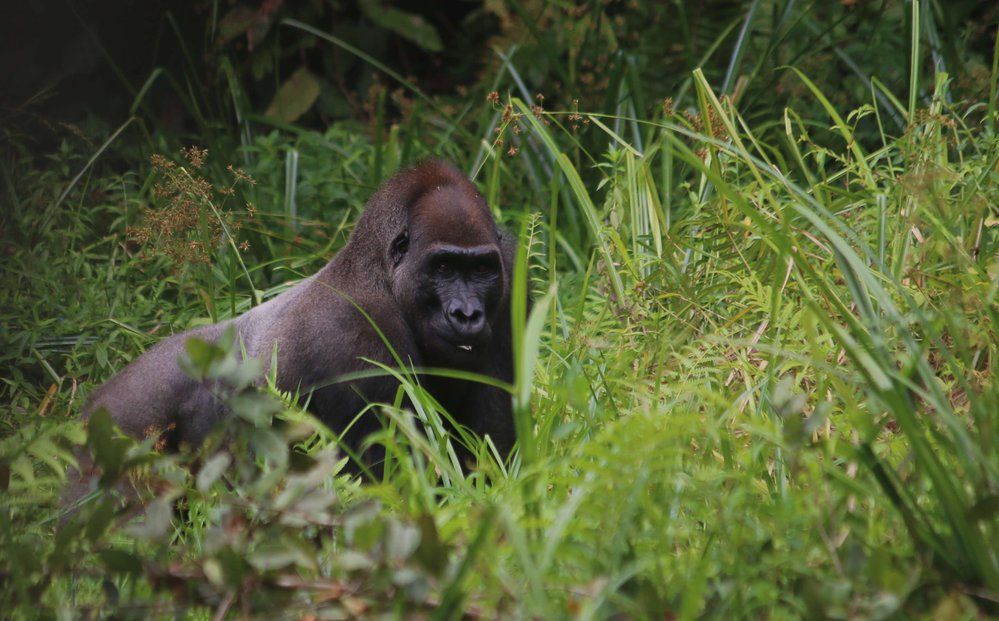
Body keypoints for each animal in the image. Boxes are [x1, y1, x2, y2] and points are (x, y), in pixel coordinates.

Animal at [82, 159, 520, 470]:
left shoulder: (508, 271)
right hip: (122, 422)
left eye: (481, 270)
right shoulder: (354, 340)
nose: (467, 314)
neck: (377, 275)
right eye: (443, 268)